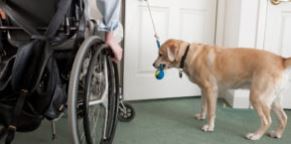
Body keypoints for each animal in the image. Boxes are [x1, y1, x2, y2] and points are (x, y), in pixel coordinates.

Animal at [154, 38, 290, 140]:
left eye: (161, 54)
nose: (153, 64)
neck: (188, 54)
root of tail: (281, 59)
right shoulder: (204, 90)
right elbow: (203, 106)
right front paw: (201, 116)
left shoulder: (211, 89)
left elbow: (211, 112)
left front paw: (209, 127)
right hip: (273, 100)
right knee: (284, 118)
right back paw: (277, 134)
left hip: (257, 97)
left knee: (267, 121)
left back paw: (256, 135)